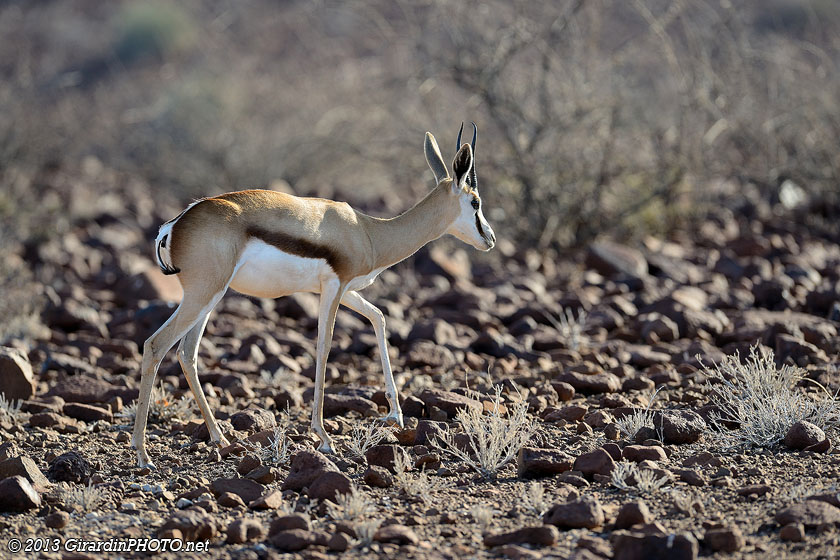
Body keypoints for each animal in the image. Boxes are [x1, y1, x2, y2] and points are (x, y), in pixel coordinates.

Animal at [131, 124, 495, 468]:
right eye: (475, 201)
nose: (490, 238)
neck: (368, 233)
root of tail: (175, 224)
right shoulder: (334, 287)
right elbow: (324, 347)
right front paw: (323, 437)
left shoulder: (343, 290)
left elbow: (378, 317)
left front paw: (396, 414)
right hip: (203, 294)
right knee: (156, 345)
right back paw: (143, 453)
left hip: (209, 298)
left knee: (186, 353)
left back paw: (219, 438)